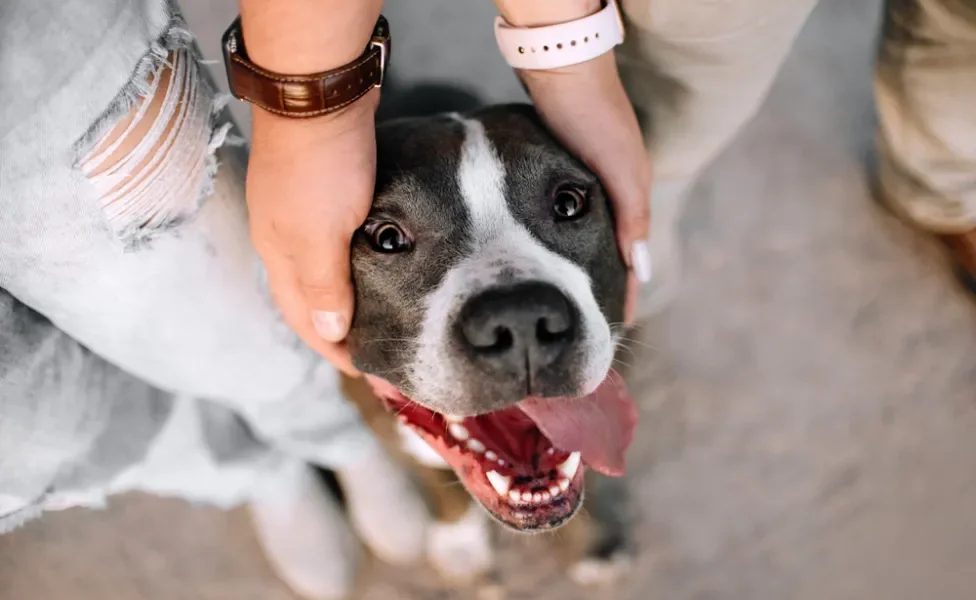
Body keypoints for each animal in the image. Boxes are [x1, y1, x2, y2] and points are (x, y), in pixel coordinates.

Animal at [338, 83, 640, 584]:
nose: (520, 319)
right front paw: (461, 544)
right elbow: (439, 481)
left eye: (569, 203)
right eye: (387, 238)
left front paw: (591, 544)